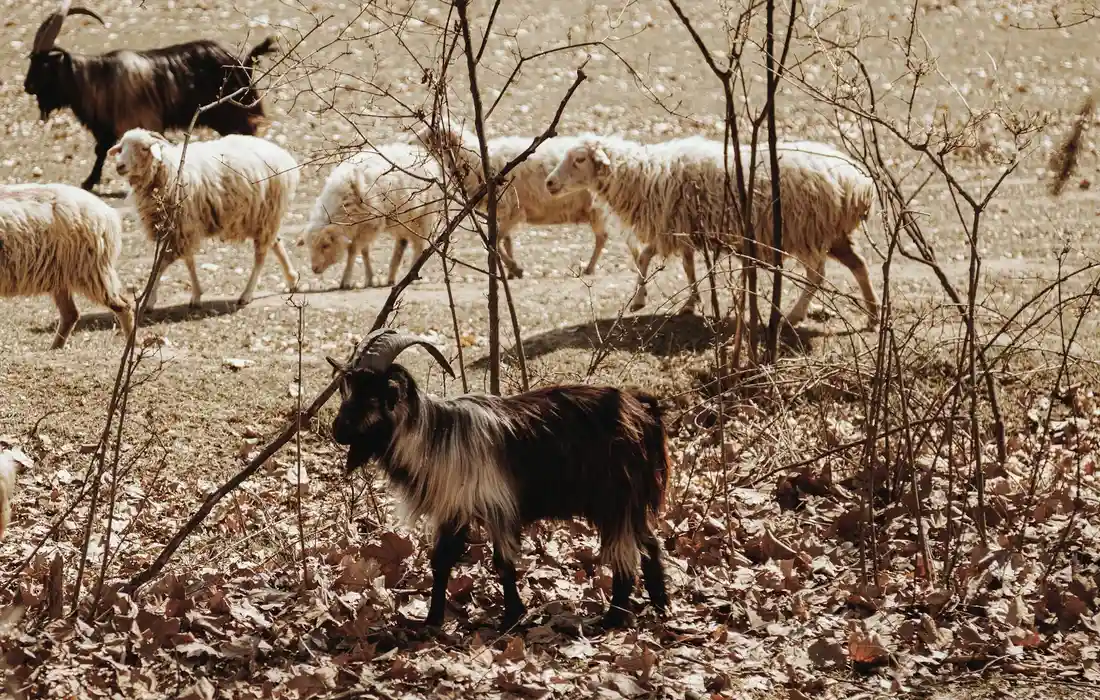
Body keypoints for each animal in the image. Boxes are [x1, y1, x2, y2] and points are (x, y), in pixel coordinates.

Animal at [24, 0, 278, 192]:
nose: (27, 86)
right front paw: (89, 182)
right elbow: (101, 152)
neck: (97, 79)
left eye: (43, 64)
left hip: (234, 113)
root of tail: (246, 60)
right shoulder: (107, 130)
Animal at [327, 329, 672, 631]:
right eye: (347, 391)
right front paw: (432, 621)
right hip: (632, 501)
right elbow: (441, 561)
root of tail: (640, 410)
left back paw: (612, 618)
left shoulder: (497, 507)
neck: (434, 435)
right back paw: (661, 606)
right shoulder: (455, 510)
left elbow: (503, 563)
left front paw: (511, 619)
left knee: (625, 555)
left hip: (616, 500)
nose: (337, 431)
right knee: (650, 543)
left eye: (372, 397)